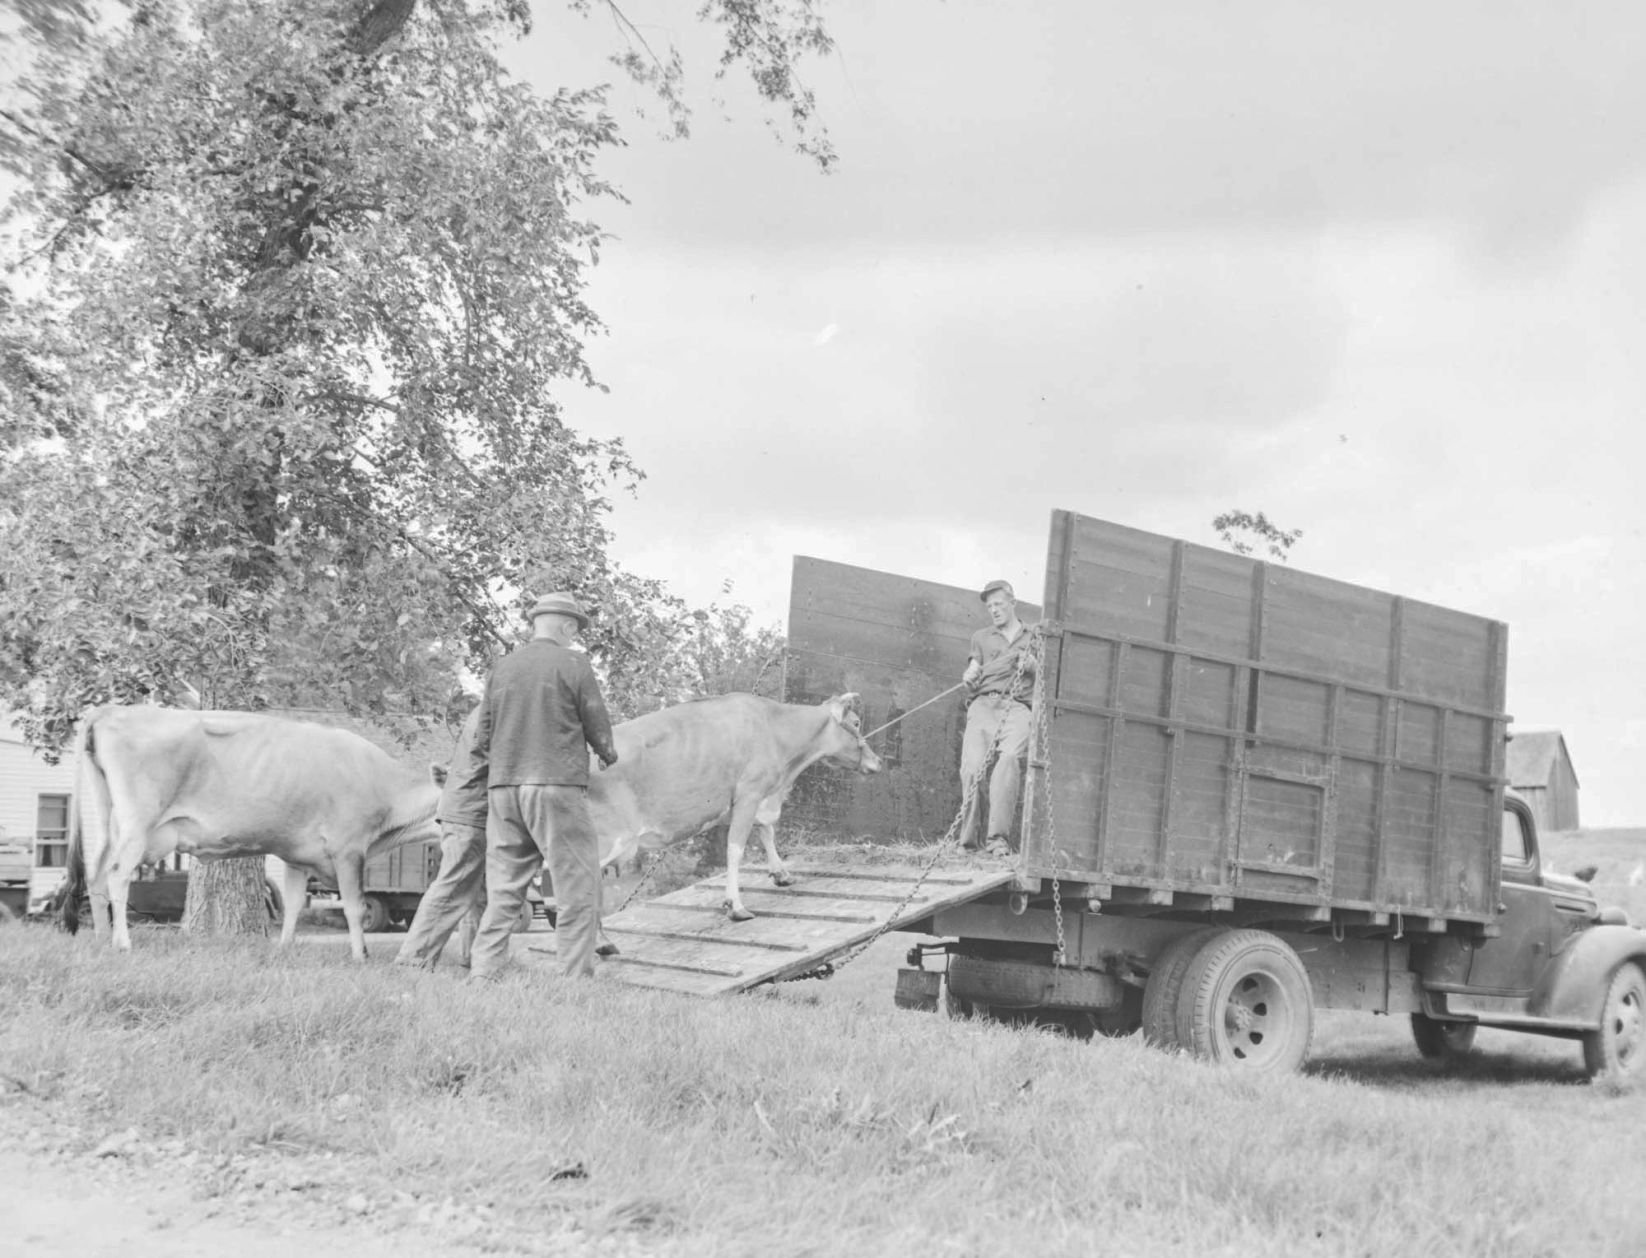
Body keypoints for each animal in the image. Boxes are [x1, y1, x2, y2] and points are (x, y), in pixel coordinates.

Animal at [62, 701, 437, 955]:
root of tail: (109, 710)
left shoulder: (298, 856)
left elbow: (294, 904)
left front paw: (284, 948)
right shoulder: (348, 849)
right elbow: (355, 908)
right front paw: (361, 954)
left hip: (110, 821)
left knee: (96, 876)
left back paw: (101, 938)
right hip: (138, 822)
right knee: (117, 875)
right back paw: (122, 942)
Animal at [585, 691, 882, 922]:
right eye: (856, 722)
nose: (877, 761)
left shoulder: (759, 799)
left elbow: (767, 831)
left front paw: (780, 873)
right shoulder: (749, 793)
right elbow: (735, 849)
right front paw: (735, 905)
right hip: (605, 840)